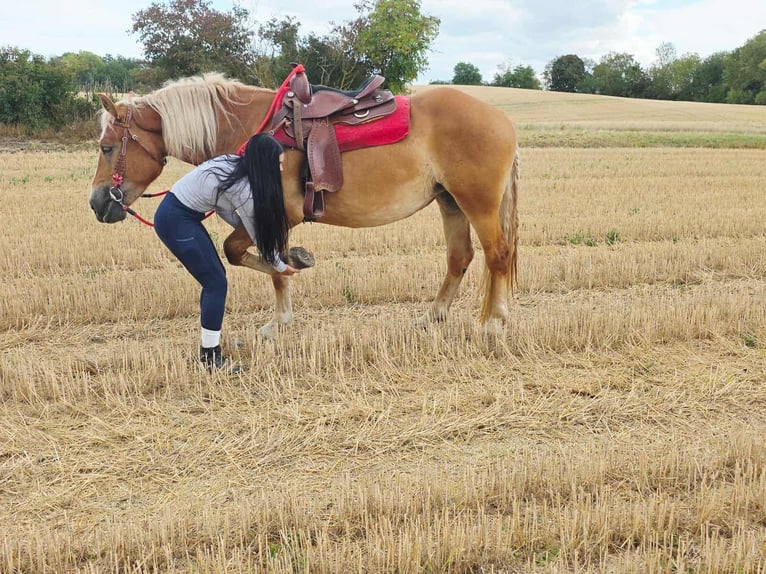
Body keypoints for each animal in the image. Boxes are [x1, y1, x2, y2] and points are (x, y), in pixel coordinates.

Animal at [89, 73, 520, 338]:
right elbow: (263, 261)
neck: (255, 129)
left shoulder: (276, 214)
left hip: (476, 202)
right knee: (459, 257)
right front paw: (288, 290)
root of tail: (503, 120)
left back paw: (495, 322)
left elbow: (248, 256)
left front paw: (280, 316)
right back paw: (432, 317)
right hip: (450, 201)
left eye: (107, 147)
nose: (97, 203)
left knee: (497, 254)